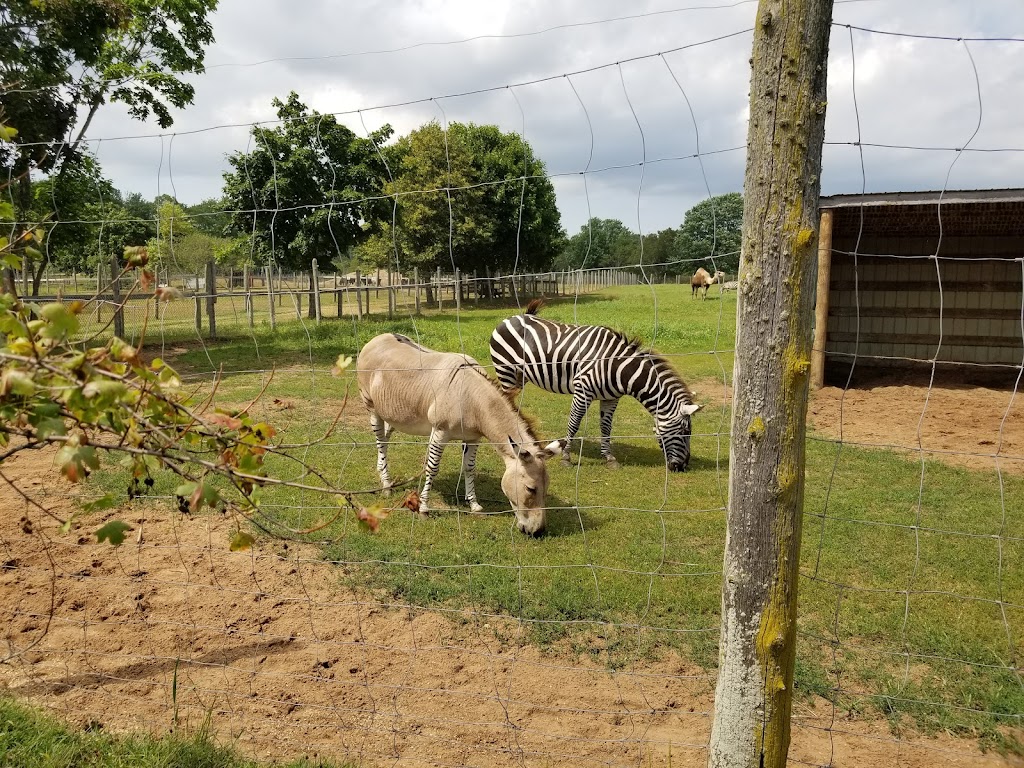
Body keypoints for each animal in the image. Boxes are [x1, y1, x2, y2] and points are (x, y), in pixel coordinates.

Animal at [489, 299, 700, 468]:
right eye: (685, 431)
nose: (683, 466)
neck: (618, 367)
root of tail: (513, 317)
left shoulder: (611, 398)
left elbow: (606, 427)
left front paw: (609, 458)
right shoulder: (582, 391)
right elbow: (574, 424)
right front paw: (566, 458)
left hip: (521, 377)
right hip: (506, 371)